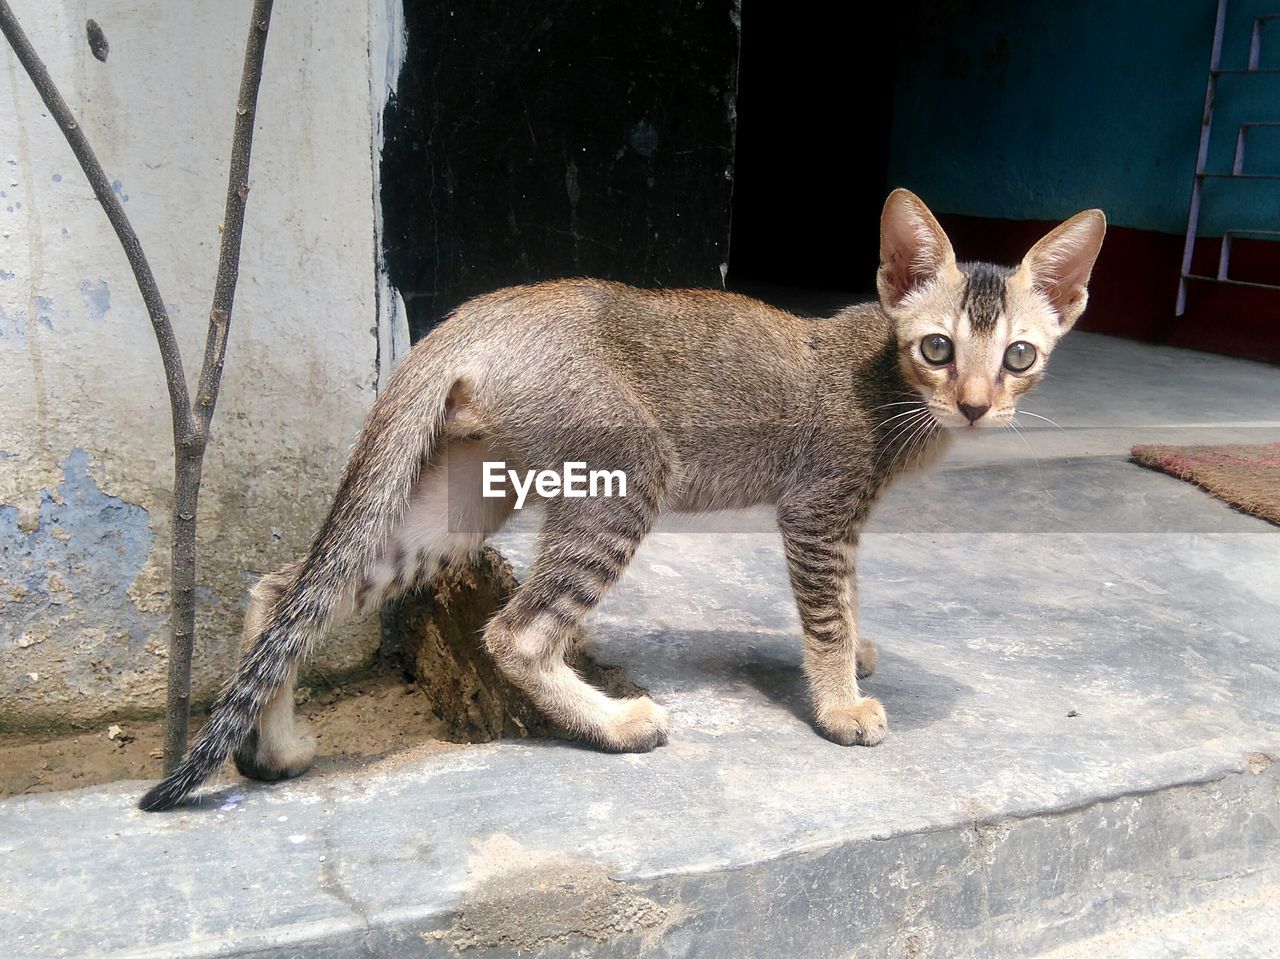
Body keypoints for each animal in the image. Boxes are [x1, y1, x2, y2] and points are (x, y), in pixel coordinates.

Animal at [137, 186, 1100, 809]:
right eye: (939, 348)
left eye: (1018, 355)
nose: (974, 404)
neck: (886, 375)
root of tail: (483, 310)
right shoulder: (819, 509)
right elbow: (826, 612)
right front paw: (838, 703)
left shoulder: (844, 519)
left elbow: (851, 598)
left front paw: (858, 652)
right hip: (628, 471)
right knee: (514, 632)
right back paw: (613, 723)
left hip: (457, 500)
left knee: (286, 589)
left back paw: (275, 748)